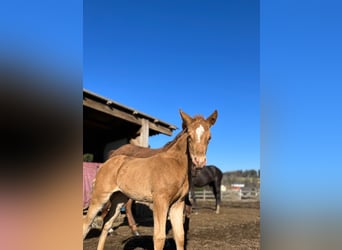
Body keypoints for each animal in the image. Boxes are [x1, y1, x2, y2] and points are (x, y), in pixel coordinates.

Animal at [82, 110, 216, 250]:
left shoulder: (178, 203)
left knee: (107, 224)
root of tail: (106, 163)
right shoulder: (160, 202)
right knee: (86, 224)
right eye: (189, 136)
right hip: (100, 197)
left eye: (209, 138)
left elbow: (180, 236)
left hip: (119, 199)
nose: (199, 161)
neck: (175, 164)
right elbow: (159, 237)